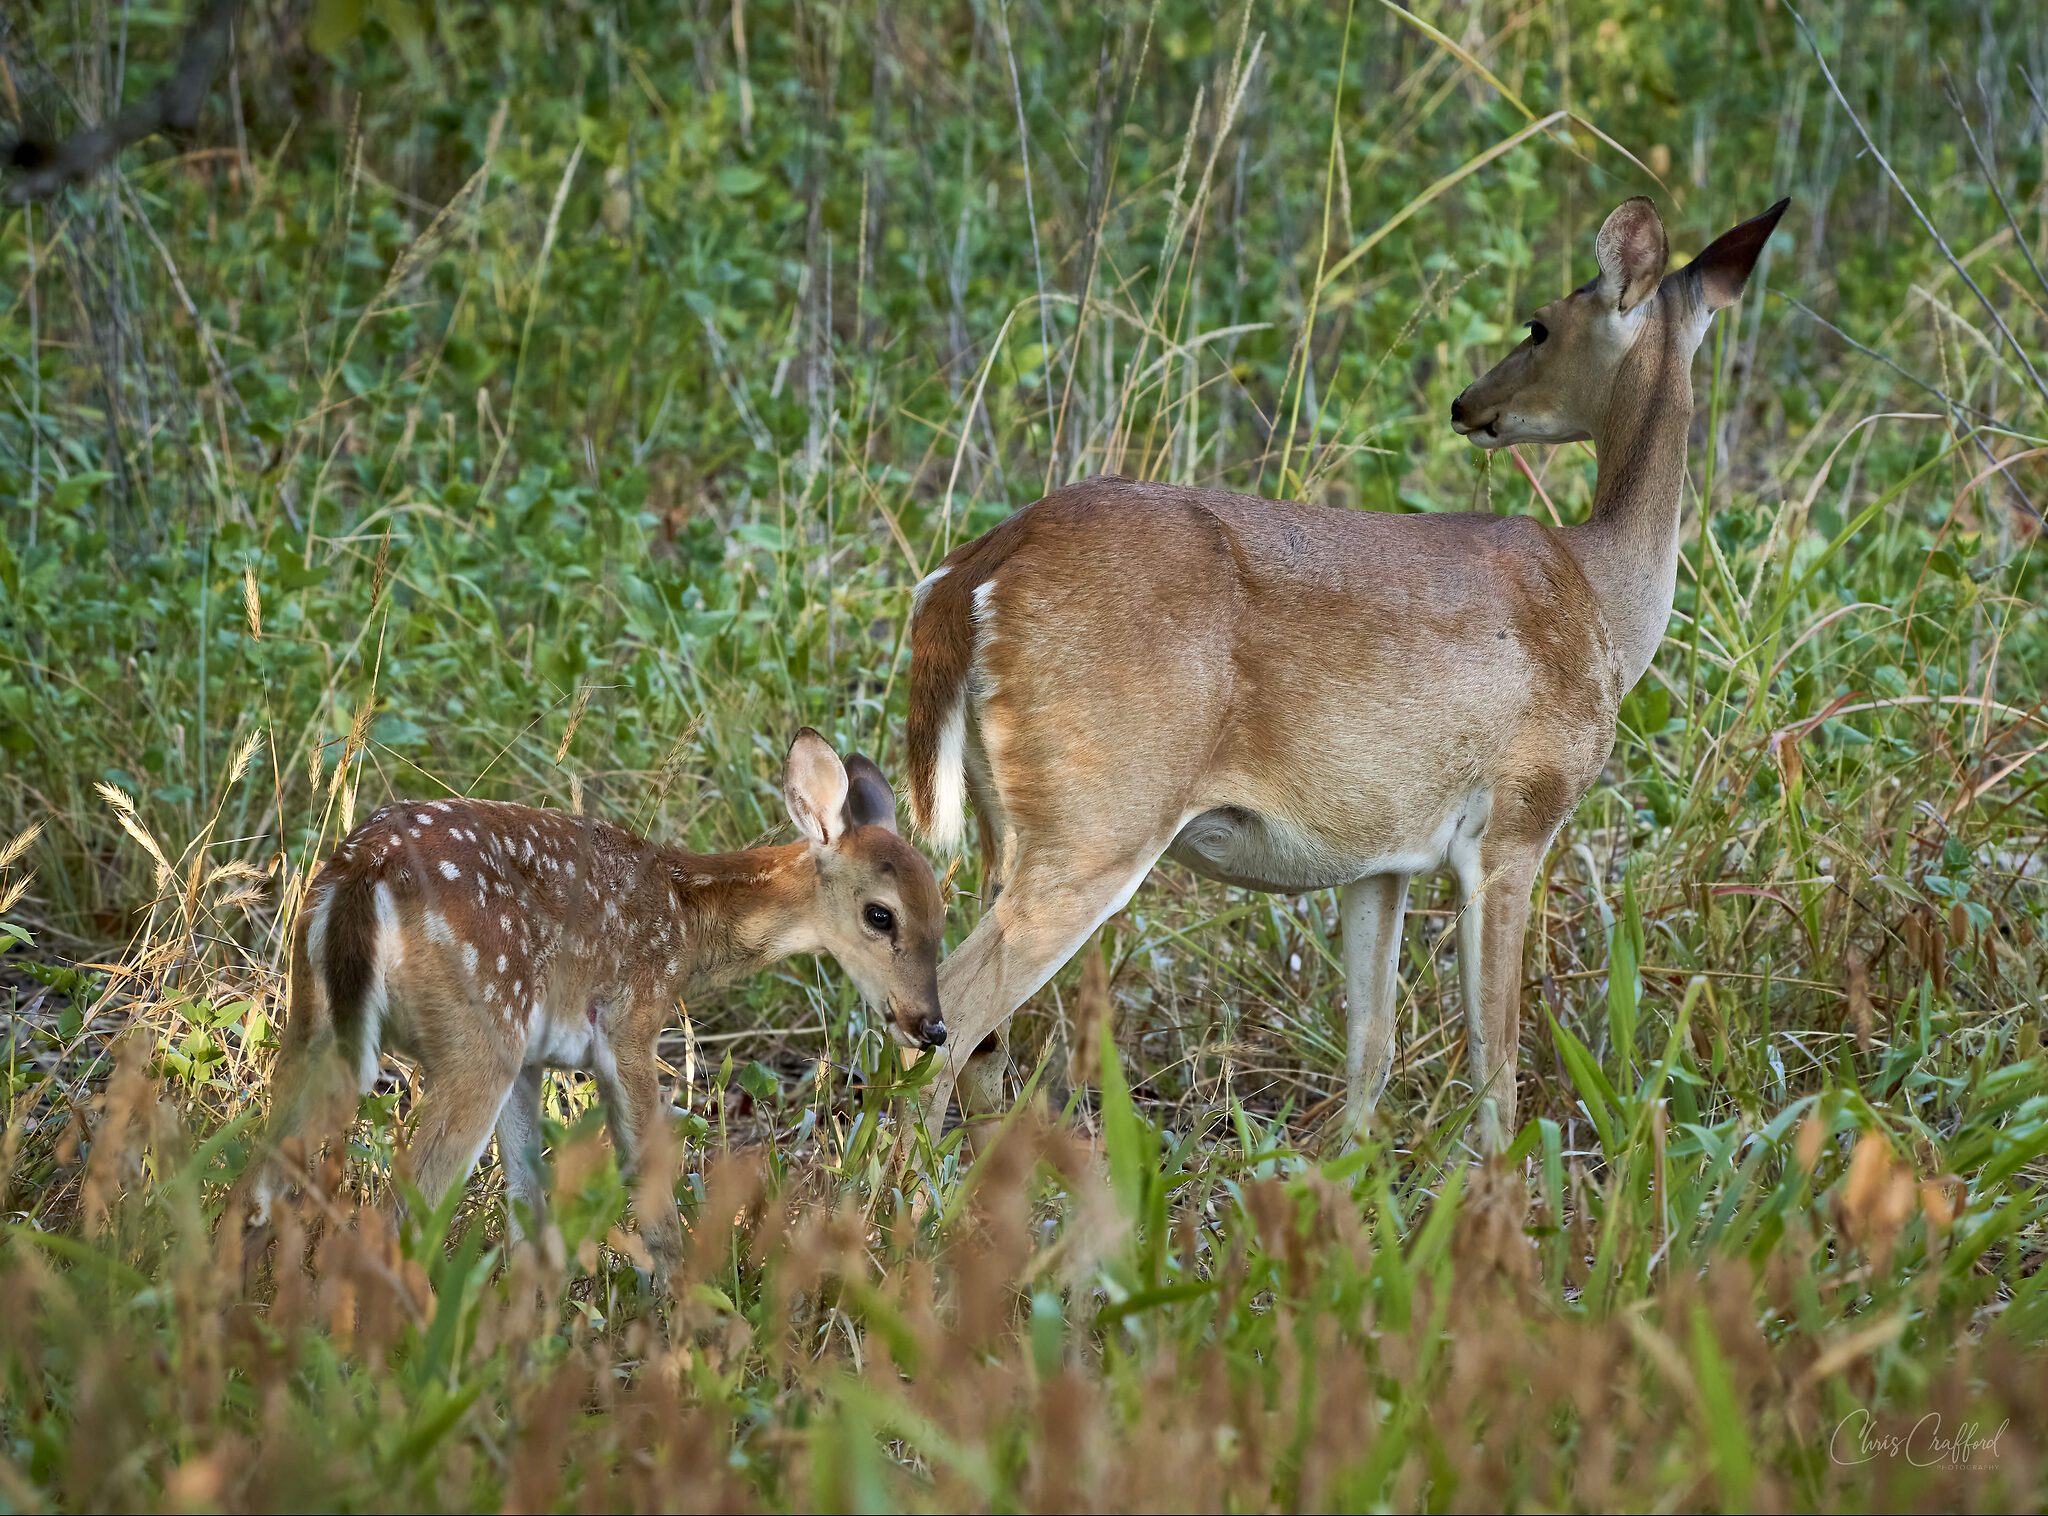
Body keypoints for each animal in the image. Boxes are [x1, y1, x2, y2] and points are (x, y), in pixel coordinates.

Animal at [256, 729, 950, 1270]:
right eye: (881, 915)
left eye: (943, 914)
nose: (933, 1027)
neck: (687, 918)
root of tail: (362, 873)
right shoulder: (628, 1025)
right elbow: (650, 1185)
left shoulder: (534, 1059)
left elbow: (529, 1210)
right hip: (479, 1033)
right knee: (394, 1211)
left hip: (315, 1022)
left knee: (261, 1181)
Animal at [905, 198, 1785, 1147]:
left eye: (1540, 326)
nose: (1468, 403)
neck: (1602, 600)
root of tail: (971, 573)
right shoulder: (1518, 818)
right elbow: (1496, 1057)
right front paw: (1501, 1179)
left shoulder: (1379, 857)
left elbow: (1373, 1047)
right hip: (1099, 813)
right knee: (950, 1015)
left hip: (1007, 822)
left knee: (973, 1038)